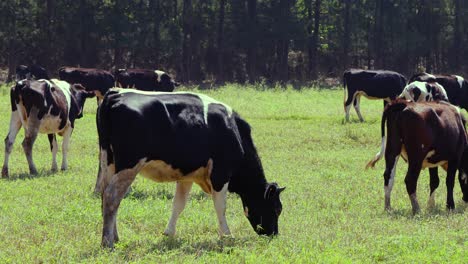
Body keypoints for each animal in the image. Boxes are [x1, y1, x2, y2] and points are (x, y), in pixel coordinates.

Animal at [95, 88, 286, 248]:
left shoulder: (187, 176)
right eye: (277, 208)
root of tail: (115, 94)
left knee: (105, 196)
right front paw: (226, 235)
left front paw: (169, 233)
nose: (273, 235)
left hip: (108, 163)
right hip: (129, 165)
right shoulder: (221, 173)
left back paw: (115, 237)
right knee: (112, 196)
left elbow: (178, 204)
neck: (234, 130)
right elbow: (220, 206)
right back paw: (108, 242)